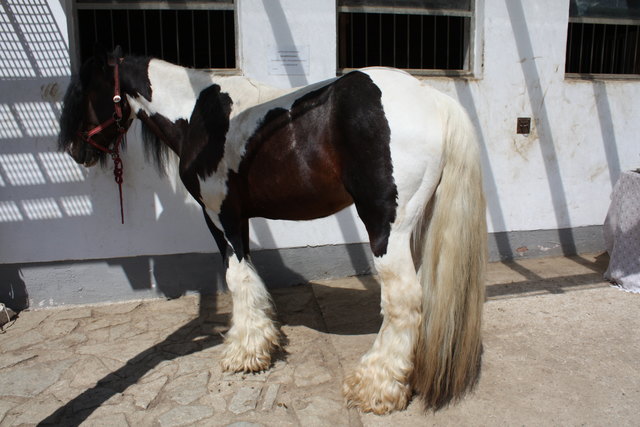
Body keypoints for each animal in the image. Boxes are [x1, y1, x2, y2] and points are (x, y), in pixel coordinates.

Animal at [58, 46, 487, 414]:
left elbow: (236, 277)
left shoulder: (219, 216)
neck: (200, 116)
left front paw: (244, 353)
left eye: (84, 91)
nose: (77, 152)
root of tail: (432, 99)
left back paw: (375, 386)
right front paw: (262, 341)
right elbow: (249, 273)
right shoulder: (241, 218)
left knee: (403, 301)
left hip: (387, 230)